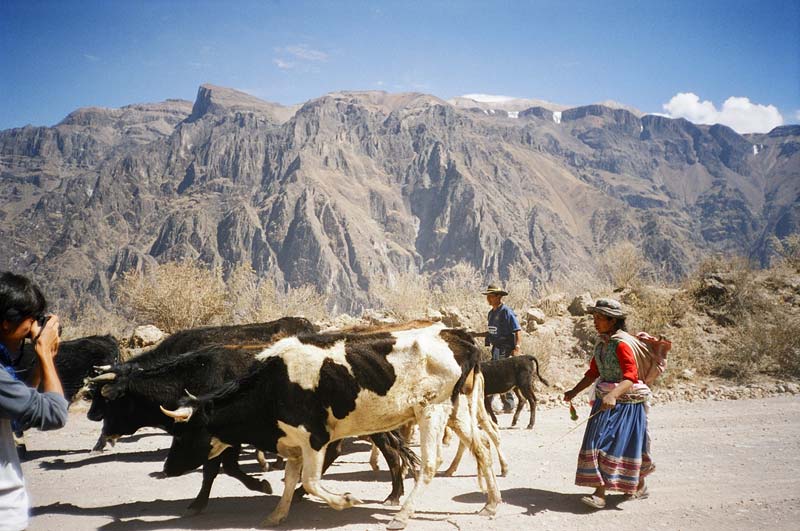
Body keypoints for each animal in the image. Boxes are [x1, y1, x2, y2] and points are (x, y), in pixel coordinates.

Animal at [162, 322, 500, 528]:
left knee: (430, 464)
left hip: (432, 410)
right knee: (482, 448)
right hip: (456, 410)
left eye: (184, 434)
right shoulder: (293, 442)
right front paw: (277, 515)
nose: (166, 468)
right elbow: (290, 481)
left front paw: (346, 500)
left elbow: (311, 482)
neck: (274, 385)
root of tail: (454, 334)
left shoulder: (314, 437)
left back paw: (403, 515)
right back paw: (491, 504)